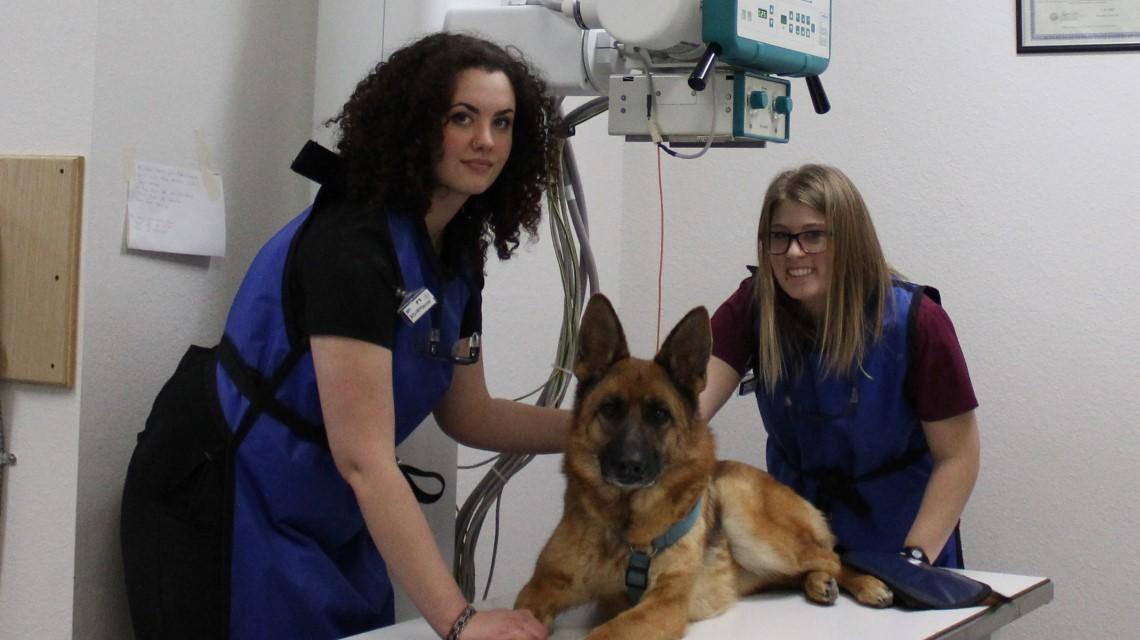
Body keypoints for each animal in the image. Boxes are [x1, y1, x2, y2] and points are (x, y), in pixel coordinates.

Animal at [515, 296, 889, 638]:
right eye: (610, 409)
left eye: (659, 414)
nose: (629, 466)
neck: (625, 525)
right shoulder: (540, 587)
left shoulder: (664, 605)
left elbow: (601, 634)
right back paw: (818, 582)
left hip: (751, 526)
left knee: (833, 556)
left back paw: (866, 584)